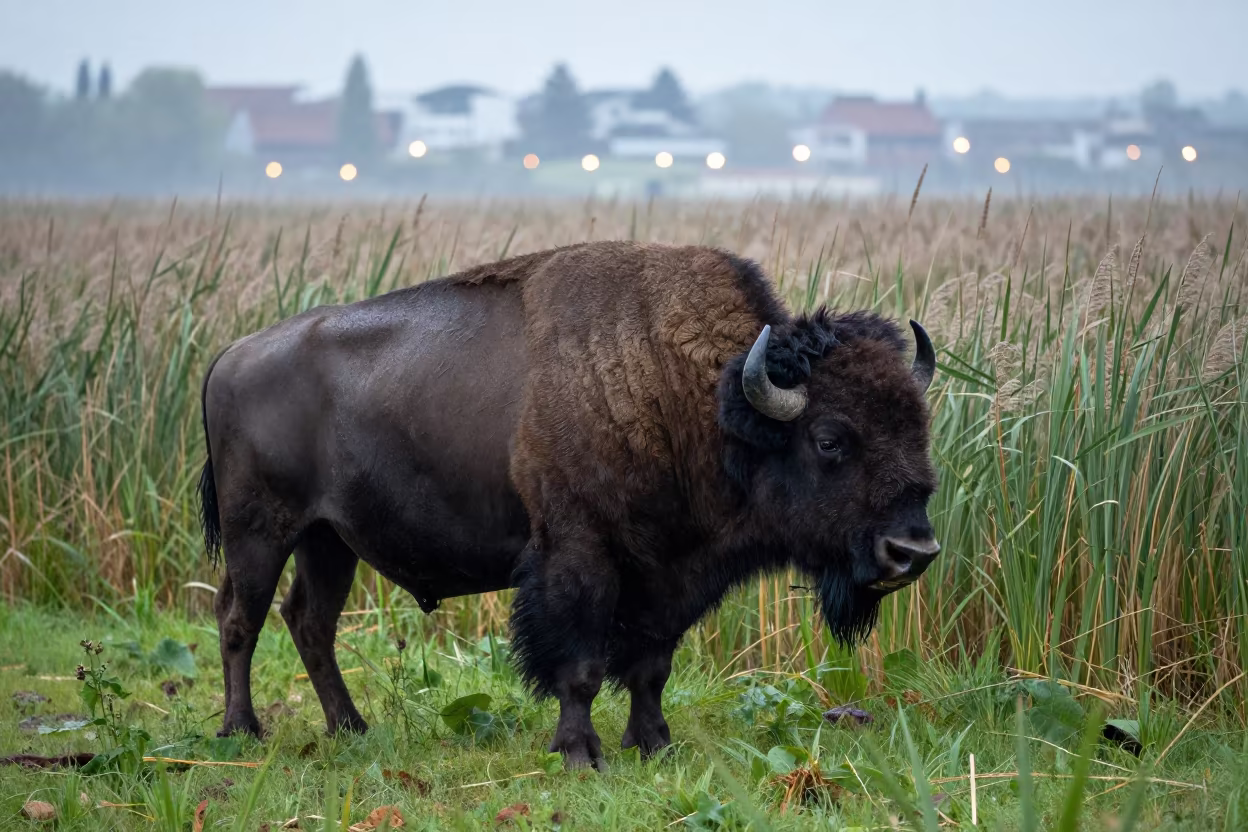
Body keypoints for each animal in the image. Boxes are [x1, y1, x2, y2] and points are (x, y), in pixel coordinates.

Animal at [197, 241, 940, 770]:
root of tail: (230, 355)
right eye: (829, 439)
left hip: (329, 540)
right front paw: (581, 754)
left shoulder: (666, 576)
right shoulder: (580, 559)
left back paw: (350, 727)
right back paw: (242, 731)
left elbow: (650, 669)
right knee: (240, 618)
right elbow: (579, 668)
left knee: (308, 621)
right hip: (260, 531)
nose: (913, 551)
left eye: (918, 428)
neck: (699, 397)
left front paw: (655, 745)